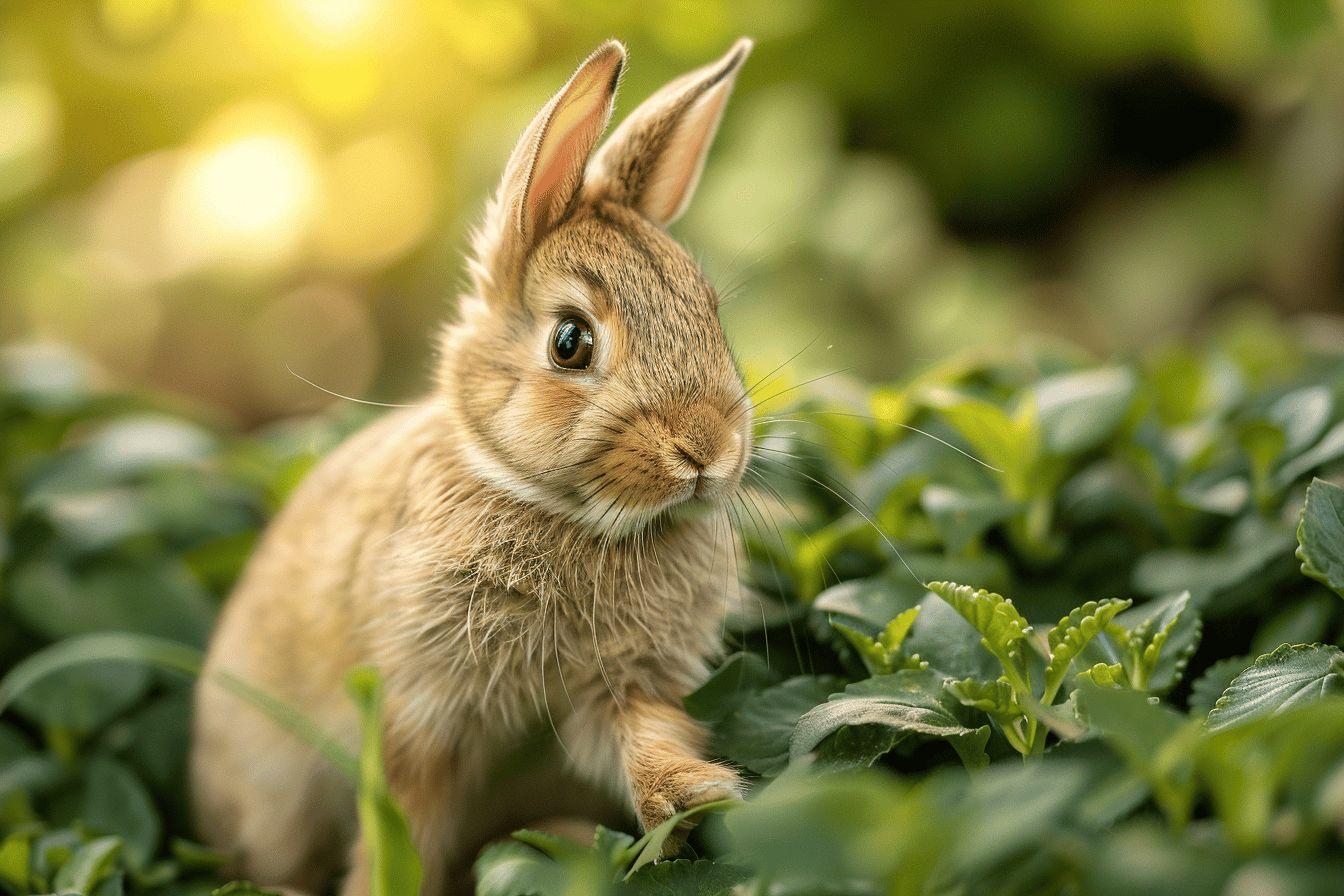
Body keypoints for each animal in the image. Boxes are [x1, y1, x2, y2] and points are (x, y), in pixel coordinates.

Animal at [191, 36, 756, 896]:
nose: (709, 449)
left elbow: (640, 737)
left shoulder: (624, 683)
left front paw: (696, 796)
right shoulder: (420, 710)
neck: (556, 509)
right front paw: (382, 883)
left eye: (710, 313)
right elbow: (405, 821)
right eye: (570, 341)